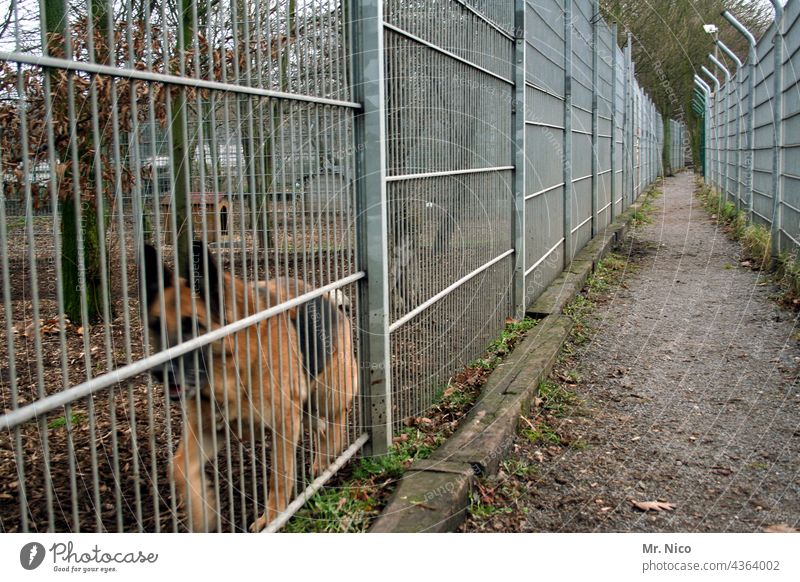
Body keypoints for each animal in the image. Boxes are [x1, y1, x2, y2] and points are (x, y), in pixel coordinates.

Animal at [142, 243, 358, 532]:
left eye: (193, 327)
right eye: (156, 326)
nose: (159, 373)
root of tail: (326, 298)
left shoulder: (284, 424)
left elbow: (280, 476)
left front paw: (272, 518)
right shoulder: (208, 427)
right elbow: (178, 468)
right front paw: (203, 513)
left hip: (326, 393)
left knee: (337, 420)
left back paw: (330, 453)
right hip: (307, 408)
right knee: (321, 427)